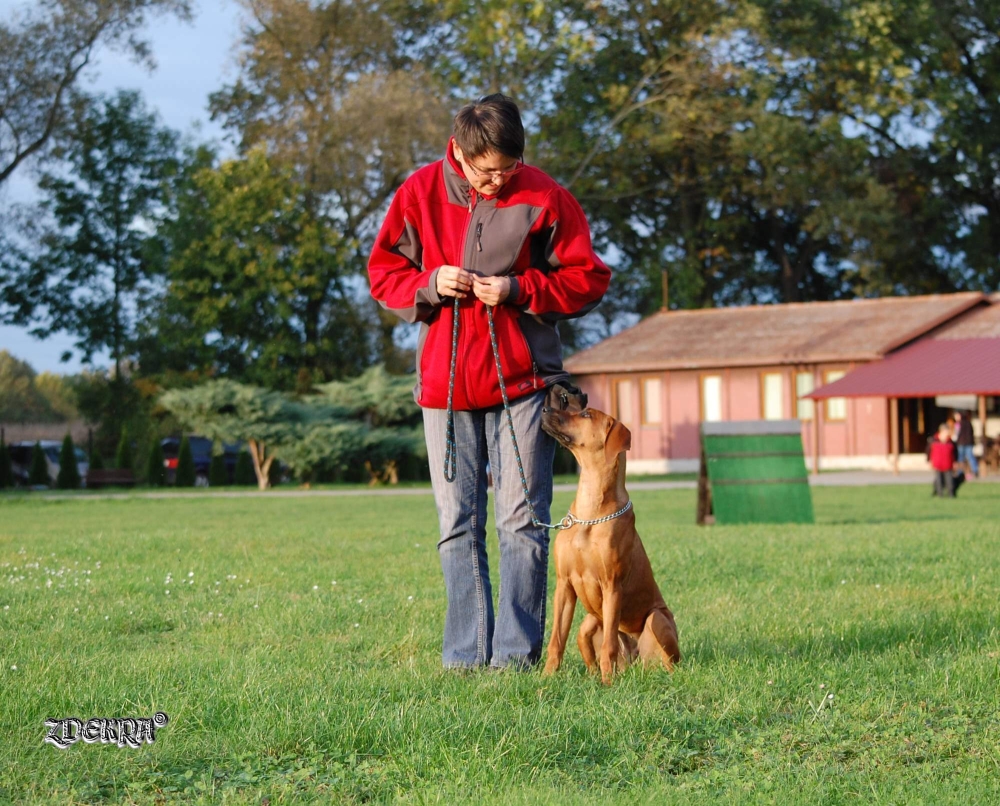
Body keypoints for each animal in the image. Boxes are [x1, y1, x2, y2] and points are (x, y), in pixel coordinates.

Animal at [540, 408, 680, 684]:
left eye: (585, 414)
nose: (545, 408)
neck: (590, 511)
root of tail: (634, 658)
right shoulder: (564, 585)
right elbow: (556, 640)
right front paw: (547, 677)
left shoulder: (612, 585)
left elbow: (608, 646)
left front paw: (608, 684)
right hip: (590, 623)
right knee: (584, 638)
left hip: (657, 619)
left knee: (669, 662)